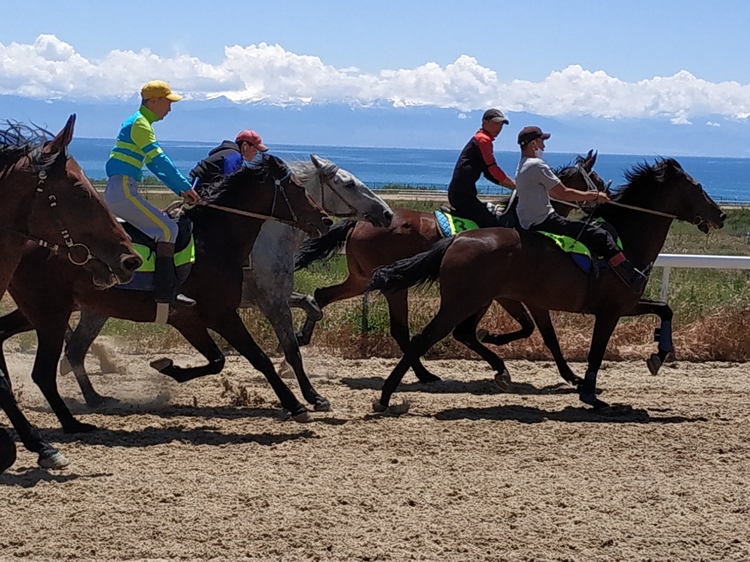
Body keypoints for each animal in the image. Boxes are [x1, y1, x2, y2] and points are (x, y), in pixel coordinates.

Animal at [0, 154, 328, 434]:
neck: (215, 241)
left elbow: (217, 360)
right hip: (50, 311)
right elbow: (258, 358)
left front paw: (169, 367)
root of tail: (28, 240)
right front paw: (297, 404)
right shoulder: (220, 313)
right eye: (297, 188)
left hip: (44, 310)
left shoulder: (190, 319)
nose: (324, 219)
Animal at [51, 155, 394, 410]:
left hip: (97, 310)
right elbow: (289, 349)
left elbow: (311, 307)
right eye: (348, 183)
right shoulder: (267, 302)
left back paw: (93, 393)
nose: (387, 213)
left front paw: (303, 343)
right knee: (73, 348)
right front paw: (311, 396)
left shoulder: (268, 297)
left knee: (76, 350)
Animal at [296, 149, 620, 384]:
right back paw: (424, 374)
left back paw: (303, 336)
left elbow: (515, 329)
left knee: (323, 294)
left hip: (363, 278)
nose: (610, 199)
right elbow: (516, 330)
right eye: (596, 177)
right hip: (393, 286)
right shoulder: (502, 294)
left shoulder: (498, 293)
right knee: (400, 330)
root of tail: (360, 221)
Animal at [370, 158, 728, 412]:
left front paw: (659, 355)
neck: (624, 242)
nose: (721, 215)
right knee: (424, 338)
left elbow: (665, 310)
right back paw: (387, 394)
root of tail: (457, 239)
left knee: (458, 333)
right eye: (696, 186)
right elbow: (594, 351)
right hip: (461, 302)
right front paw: (590, 393)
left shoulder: (624, 304)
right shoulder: (609, 311)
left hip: (476, 300)